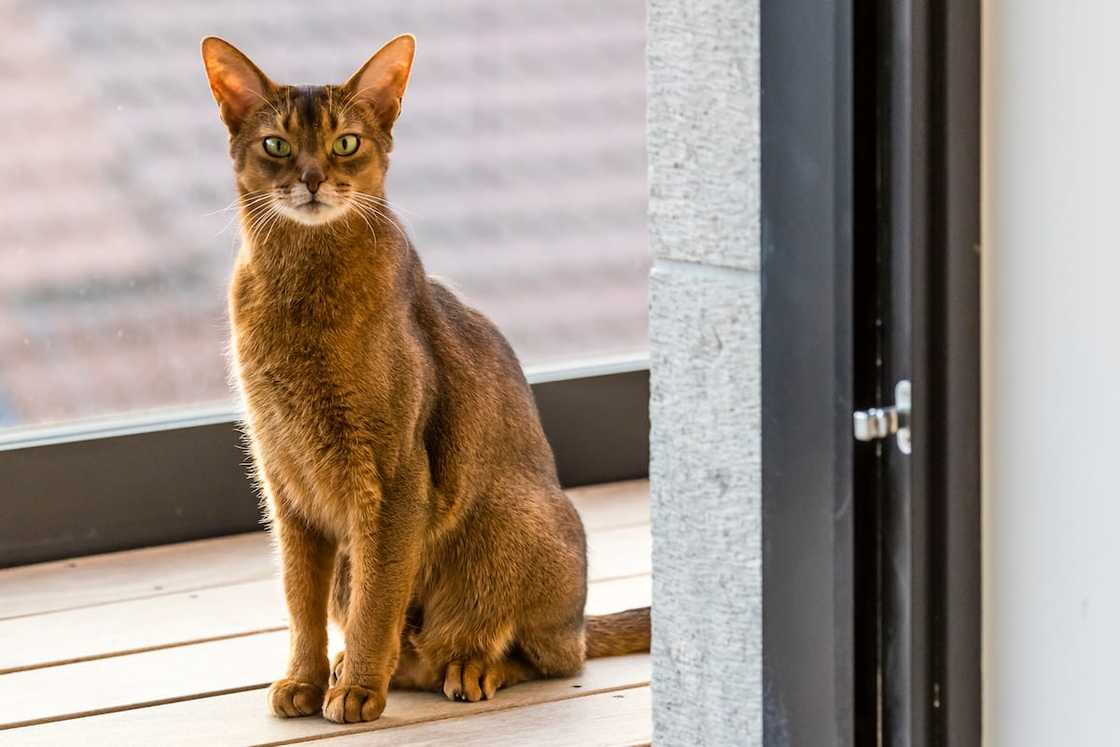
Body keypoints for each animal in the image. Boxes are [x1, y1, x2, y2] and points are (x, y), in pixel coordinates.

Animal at [201, 34, 649, 725]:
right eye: (276, 145)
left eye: (345, 143)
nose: (311, 179)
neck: (298, 292)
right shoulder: (286, 485)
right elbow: (300, 600)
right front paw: (305, 679)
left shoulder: (394, 478)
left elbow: (377, 599)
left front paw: (358, 689)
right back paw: (374, 666)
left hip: (512, 523)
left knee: (549, 656)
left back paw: (469, 666)